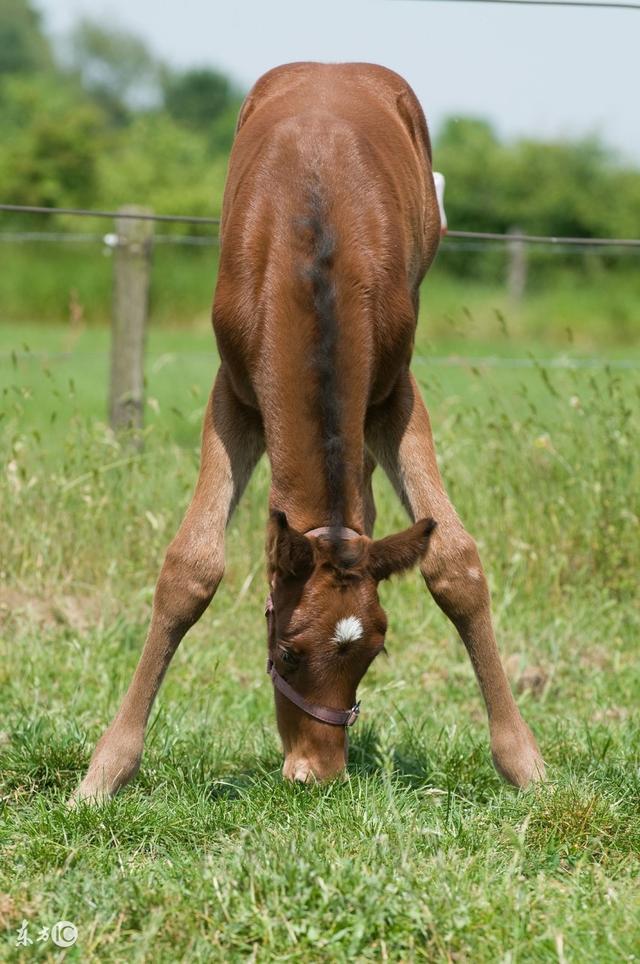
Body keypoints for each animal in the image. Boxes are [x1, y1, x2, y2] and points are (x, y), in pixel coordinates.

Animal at [72, 60, 544, 800]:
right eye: (288, 651)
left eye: (376, 647)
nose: (316, 773)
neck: (313, 249)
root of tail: (334, 63)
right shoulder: (233, 396)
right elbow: (190, 568)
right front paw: (103, 772)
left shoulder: (395, 394)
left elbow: (455, 561)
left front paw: (523, 761)